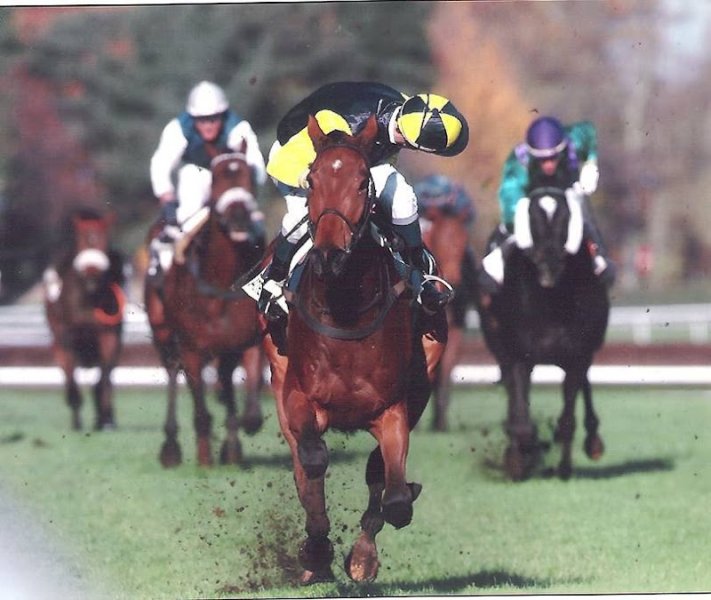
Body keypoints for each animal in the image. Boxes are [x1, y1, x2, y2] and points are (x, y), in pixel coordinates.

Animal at [44, 208, 125, 431]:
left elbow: (104, 377)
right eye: (81, 239)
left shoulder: (109, 335)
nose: (91, 275)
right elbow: (71, 377)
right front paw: (77, 419)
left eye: (104, 238)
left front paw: (106, 420)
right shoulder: (68, 337)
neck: (90, 297)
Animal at [144, 144, 265, 468]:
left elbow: (250, 401)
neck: (221, 283)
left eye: (249, 176)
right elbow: (199, 406)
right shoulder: (191, 348)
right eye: (218, 178)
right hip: (163, 334)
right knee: (173, 373)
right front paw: (204, 458)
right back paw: (171, 446)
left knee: (224, 379)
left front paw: (237, 439)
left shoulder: (248, 341)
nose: (239, 218)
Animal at [261, 114, 444, 584]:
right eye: (312, 179)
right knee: (303, 464)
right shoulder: (299, 397)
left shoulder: (394, 410)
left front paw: (361, 557)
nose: (329, 254)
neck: (345, 309)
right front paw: (315, 549)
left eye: (363, 182)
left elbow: (393, 497)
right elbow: (311, 461)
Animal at [477, 186, 610, 481]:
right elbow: (521, 419)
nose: (549, 265)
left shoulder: (576, 356)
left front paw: (563, 466)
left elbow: (568, 417)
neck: (550, 301)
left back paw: (592, 441)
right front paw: (520, 457)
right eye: (533, 220)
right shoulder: (519, 356)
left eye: (565, 219)